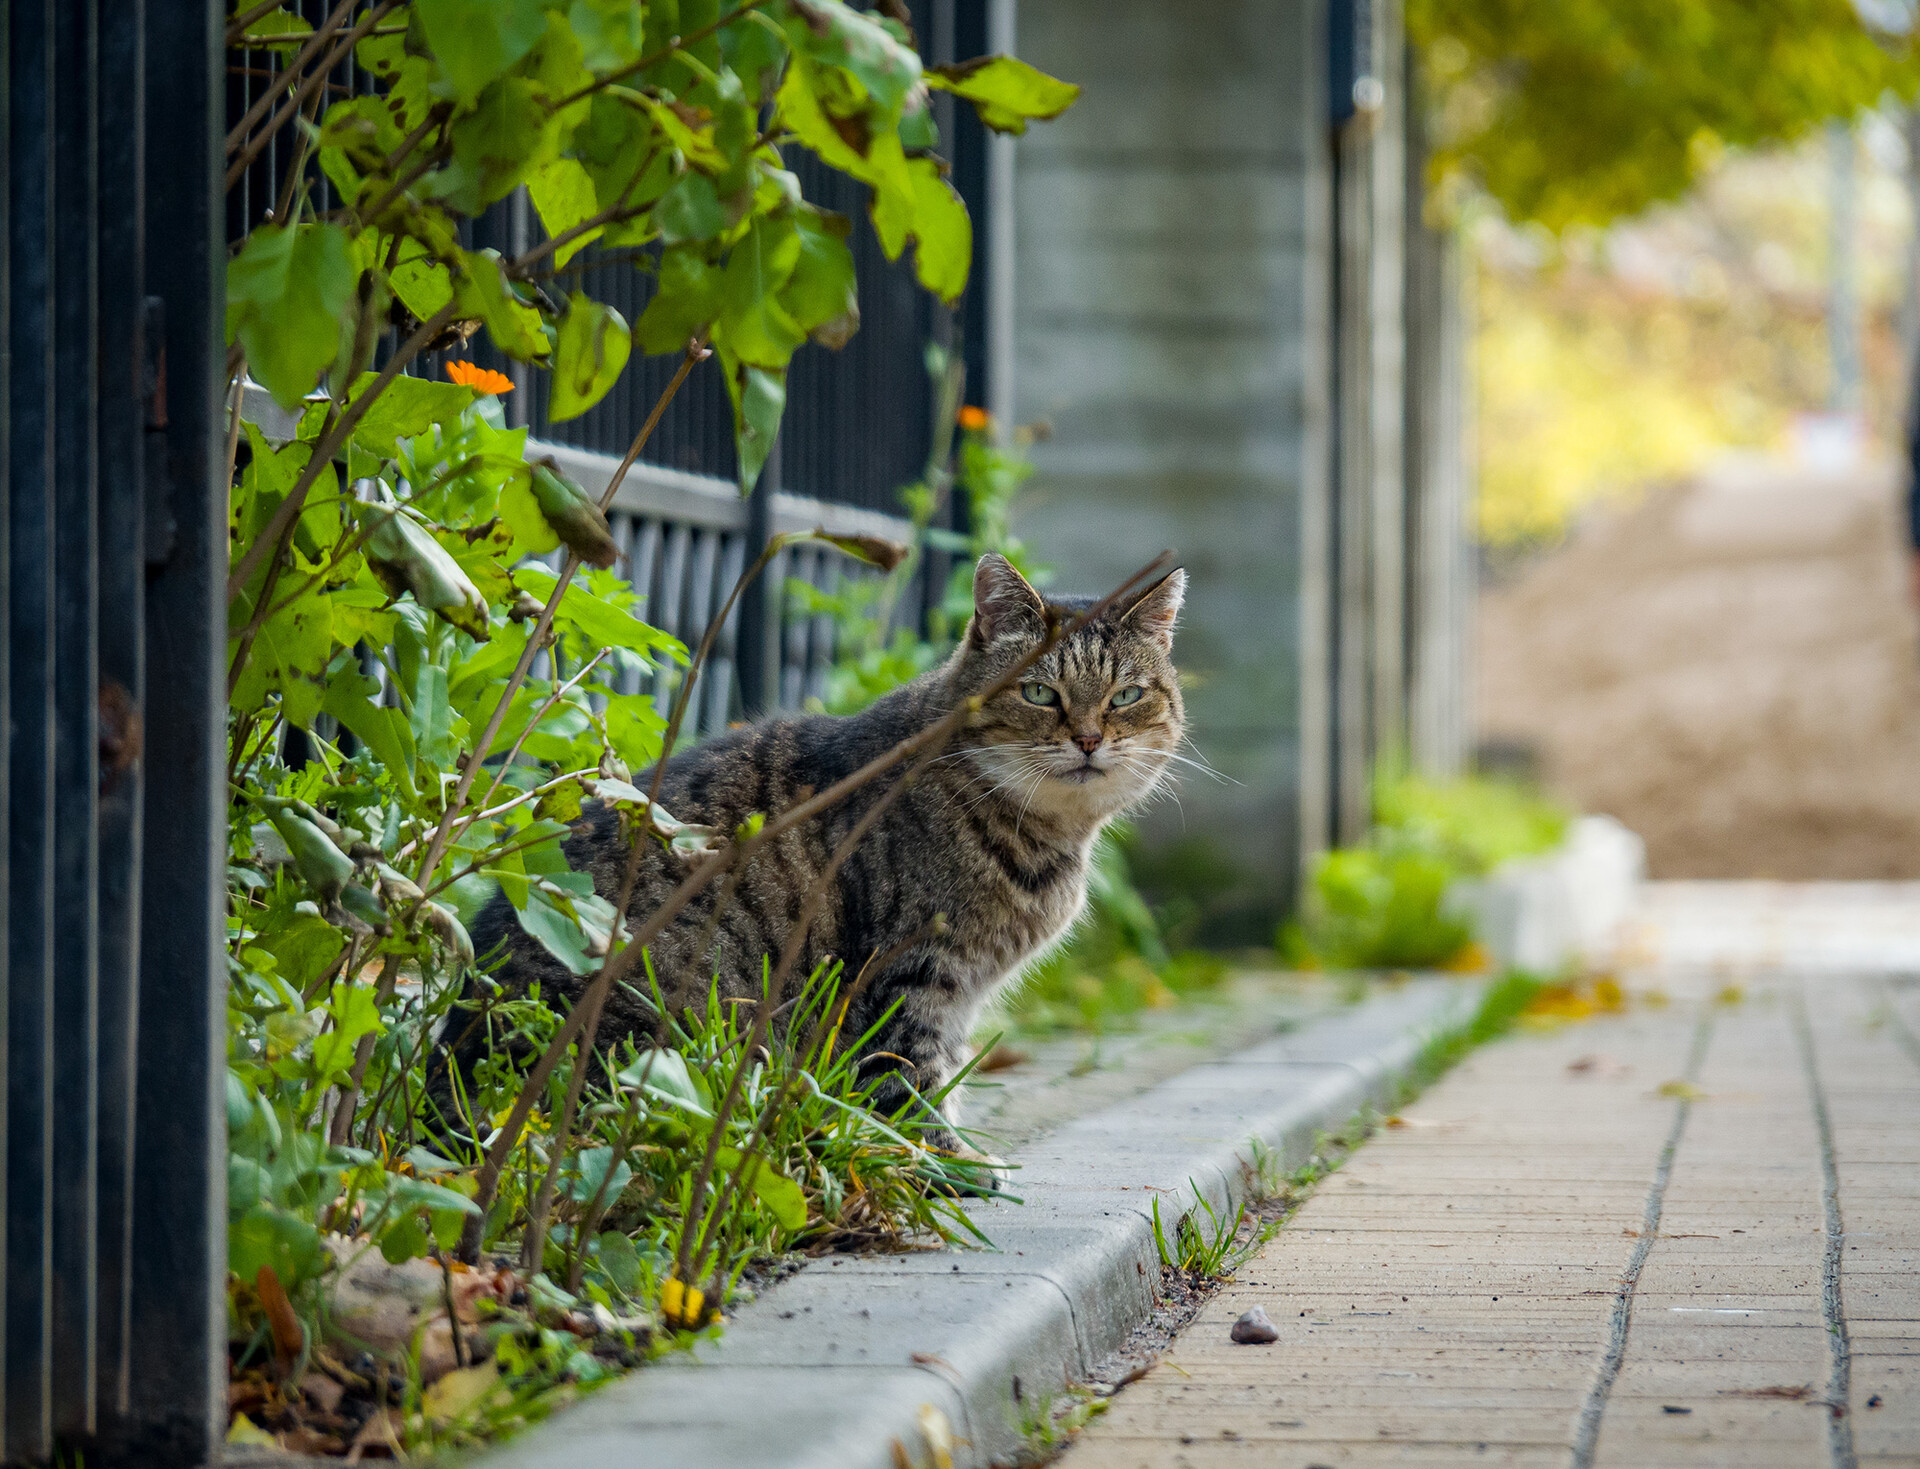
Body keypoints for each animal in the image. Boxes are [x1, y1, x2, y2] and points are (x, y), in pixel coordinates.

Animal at [460, 549, 1182, 1144]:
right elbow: (915, 1079)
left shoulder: (953, 991)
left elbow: (943, 1071)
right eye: (1038, 692)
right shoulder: (913, 974)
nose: (1088, 739)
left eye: (1126, 695)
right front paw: (947, 1168)